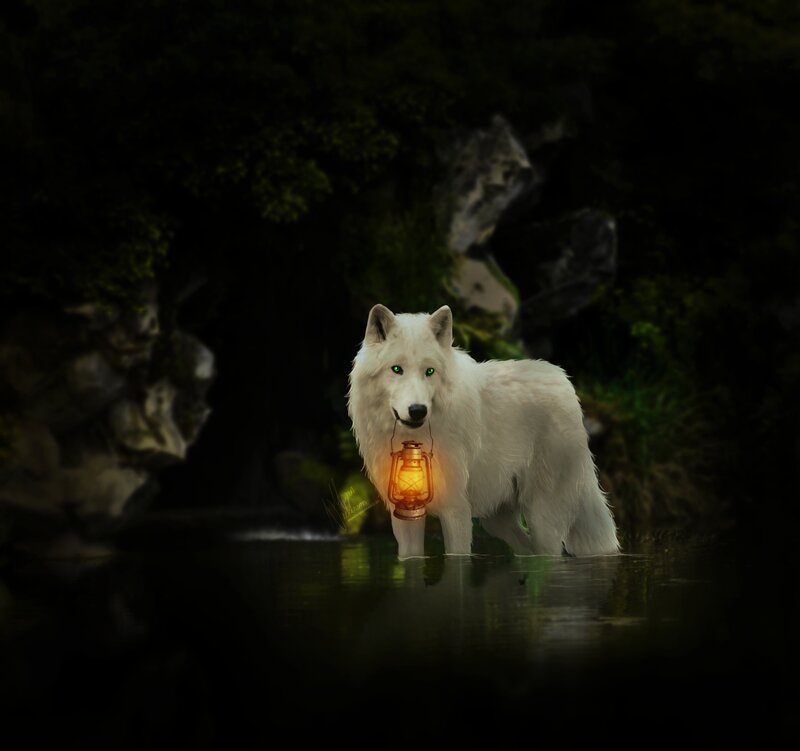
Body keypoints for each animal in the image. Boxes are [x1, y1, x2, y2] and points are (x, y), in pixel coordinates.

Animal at [347, 304, 620, 559]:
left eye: (429, 371)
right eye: (396, 369)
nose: (417, 411)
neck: (415, 441)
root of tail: (564, 381)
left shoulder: (456, 509)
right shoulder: (404, 515)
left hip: (541, 515)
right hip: (497, 521)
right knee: (526, 549)